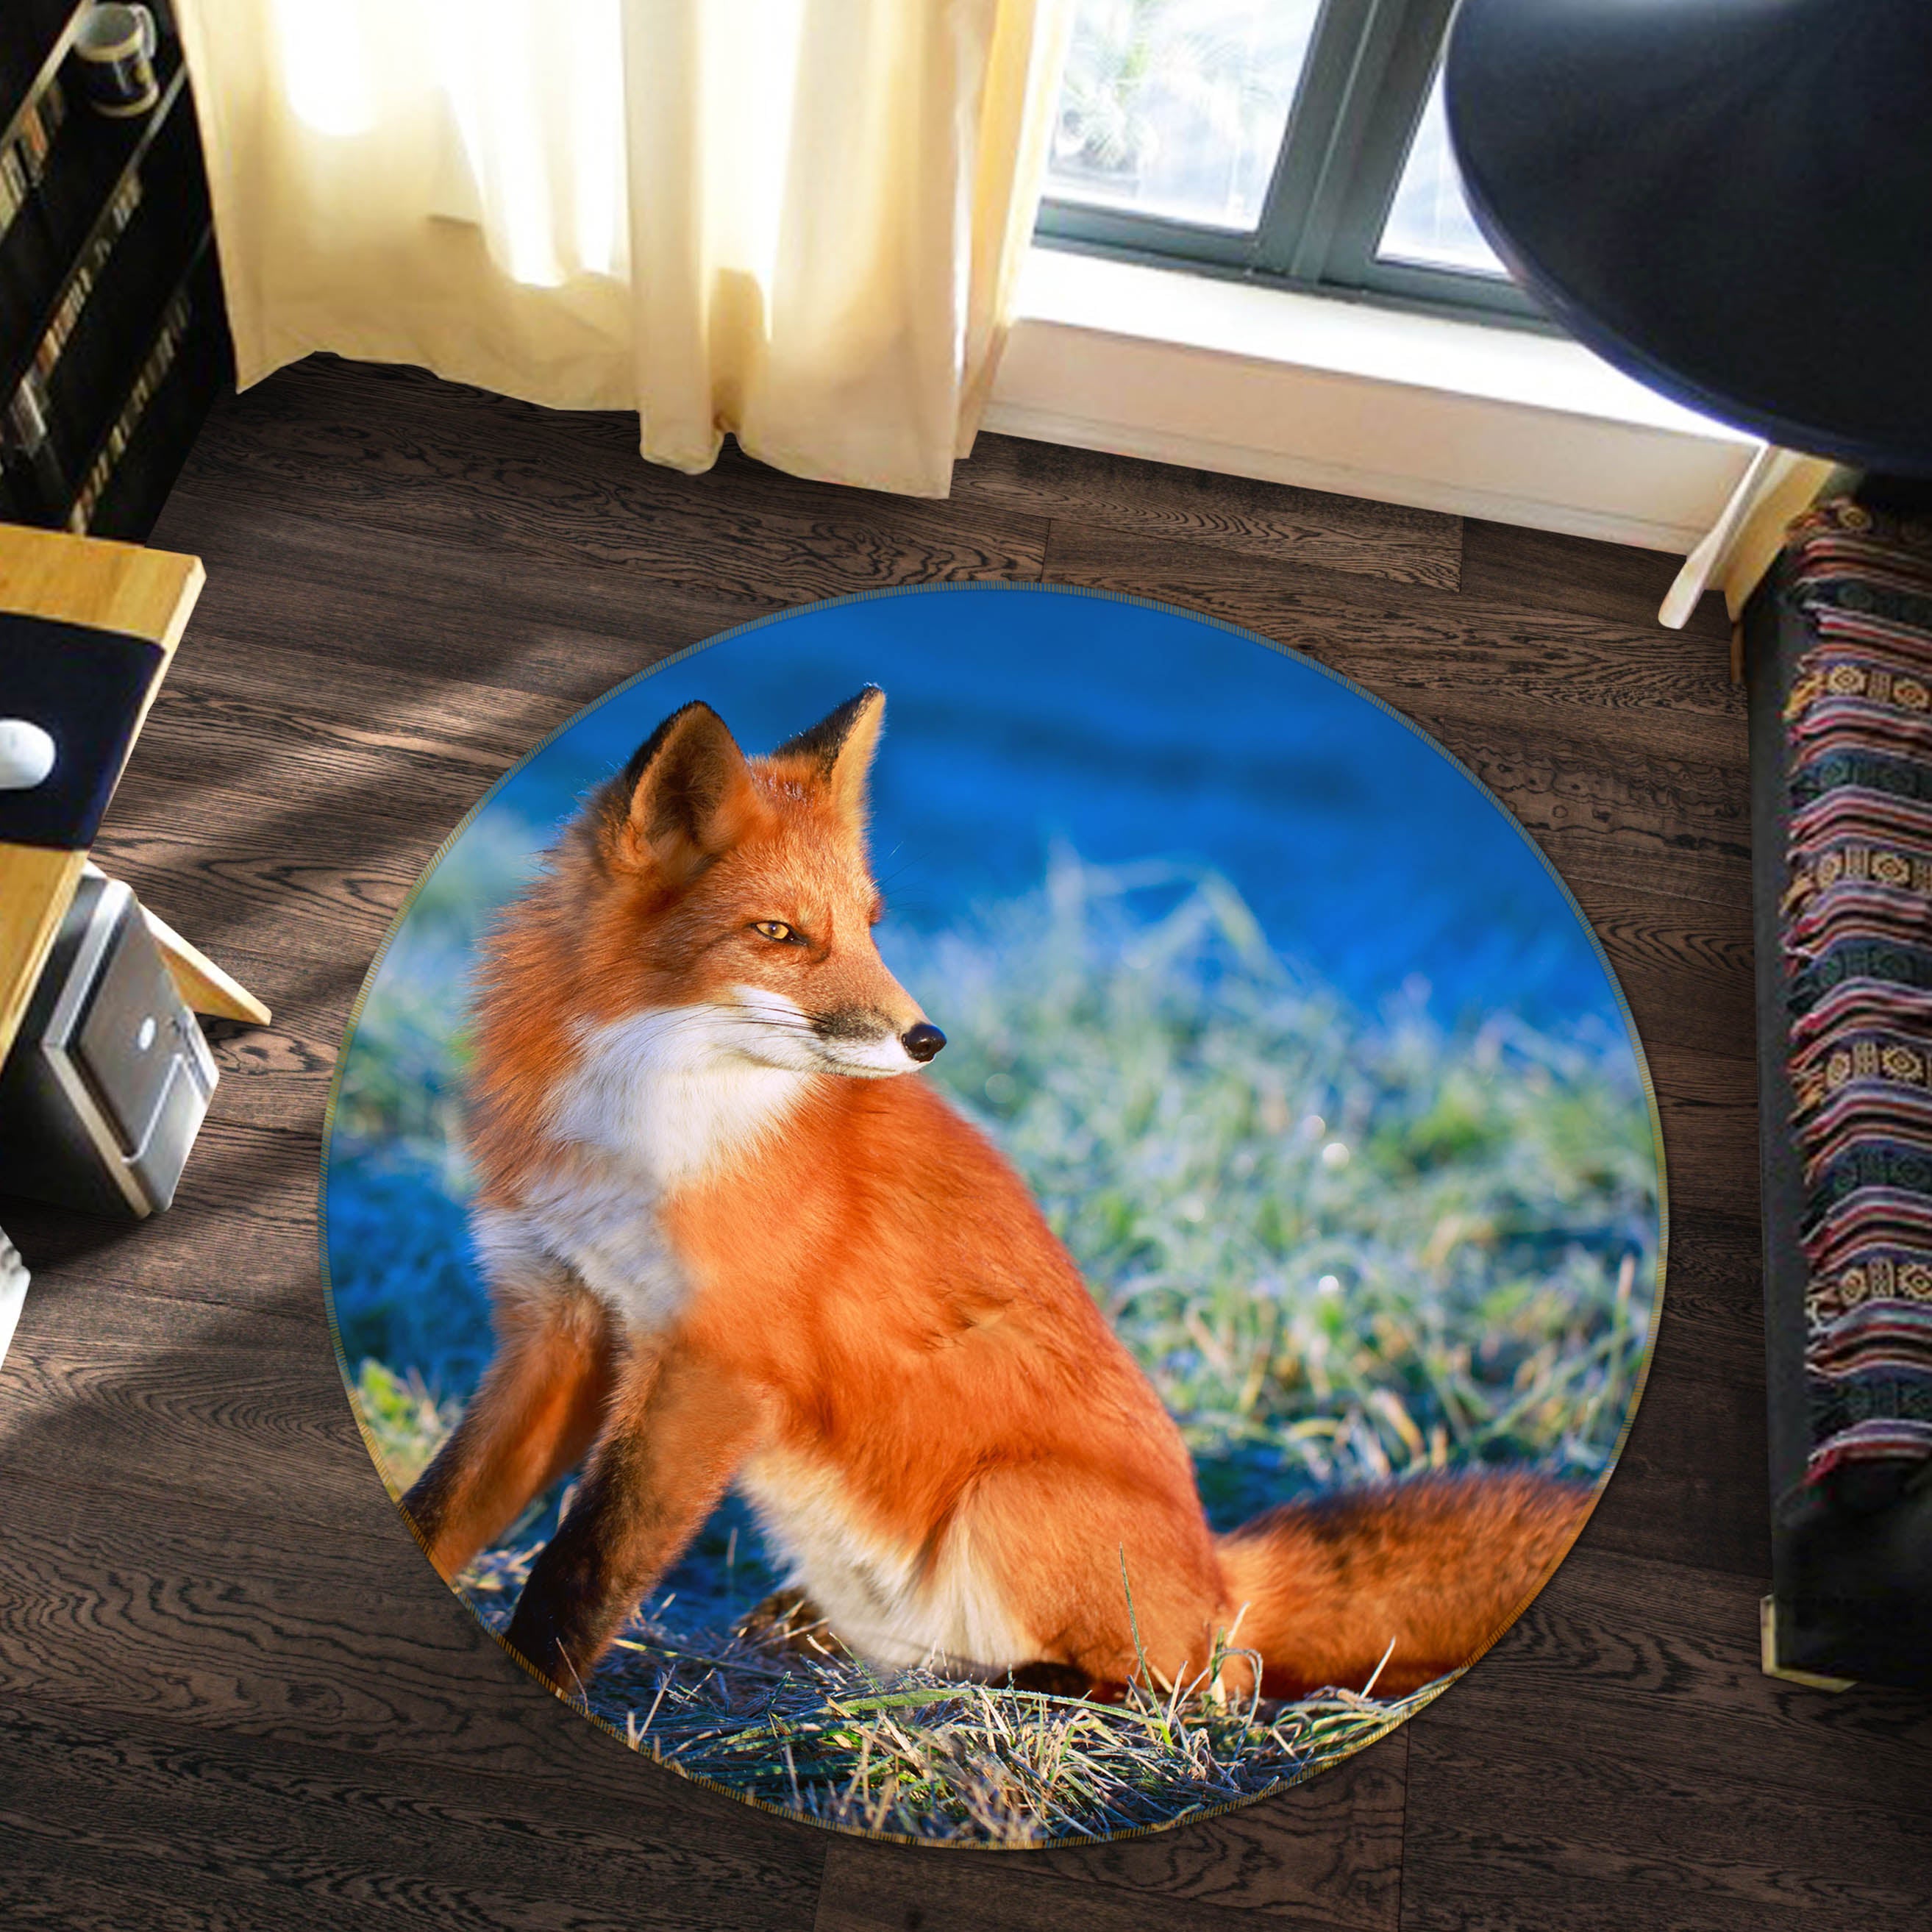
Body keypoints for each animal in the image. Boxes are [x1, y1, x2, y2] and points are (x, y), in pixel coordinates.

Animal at [401, 686, 1592, 1703]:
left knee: (1190, 1685)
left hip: (1003, 1499)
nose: (925, 1037)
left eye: (870, 921)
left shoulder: (711, 1364)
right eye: (779, 933)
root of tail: (1221, 1573)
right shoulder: (558, 1328)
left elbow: (585, 1566)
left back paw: (1016, 1687)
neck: (642, 1126)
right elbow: (448, 1506)